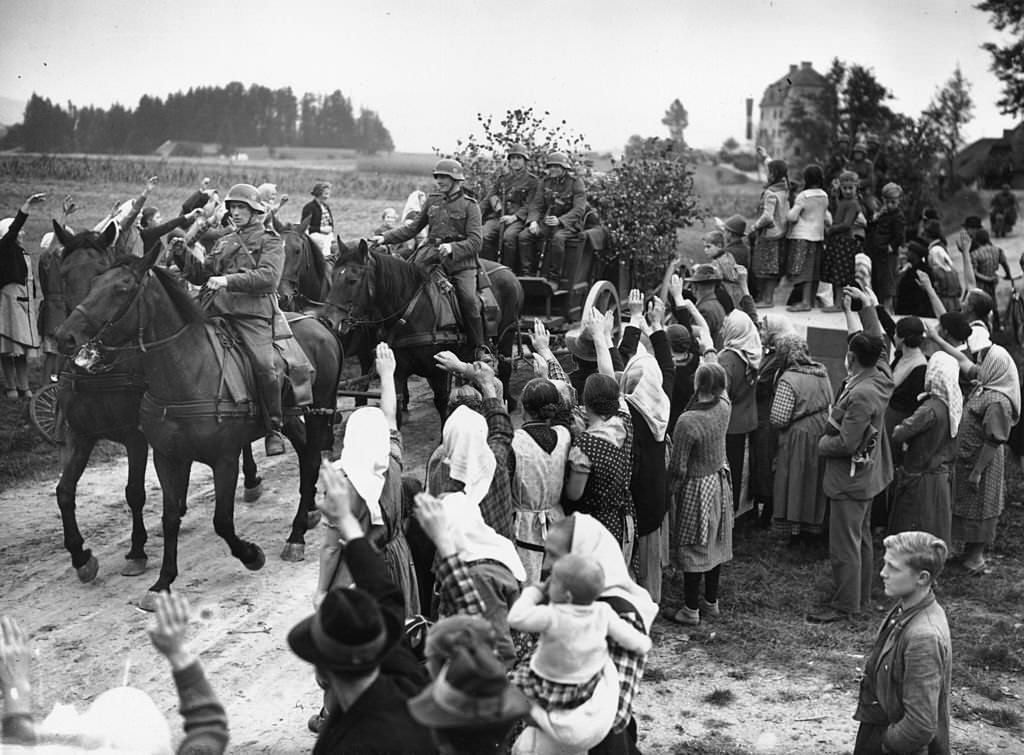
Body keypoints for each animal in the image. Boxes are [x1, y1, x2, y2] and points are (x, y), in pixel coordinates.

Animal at [50, 221, 264, 581]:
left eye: (99, 269)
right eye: (63, 273)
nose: (69, 338)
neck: (99, 373)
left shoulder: (135, 436)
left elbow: (134, 492)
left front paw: (137, 550)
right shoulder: (80, 433)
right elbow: (65, 492)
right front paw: (80, 556)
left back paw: (248, 479)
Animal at [58, 247, 342, 606]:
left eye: (121, 289)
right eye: (94, 282)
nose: (65, 336)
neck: (187, 371)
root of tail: (320, 324)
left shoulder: (223, 458)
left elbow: (221, 520)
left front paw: (251, 555)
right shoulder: (164, 456)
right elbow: (168, 517)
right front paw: (162, 583)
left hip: (319, 411)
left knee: (314, 458)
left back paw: (297, 535)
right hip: (290, 417)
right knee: (306, 454)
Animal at [325, 241, 524, 415]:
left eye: (352, 280)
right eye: (332, 276)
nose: (328, 321)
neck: (410, 312)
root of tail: (509, 272)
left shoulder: (438, 372)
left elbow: (442, 404)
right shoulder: (397, 372)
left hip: (507, 333)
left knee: (505, 367)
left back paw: (507, 401)